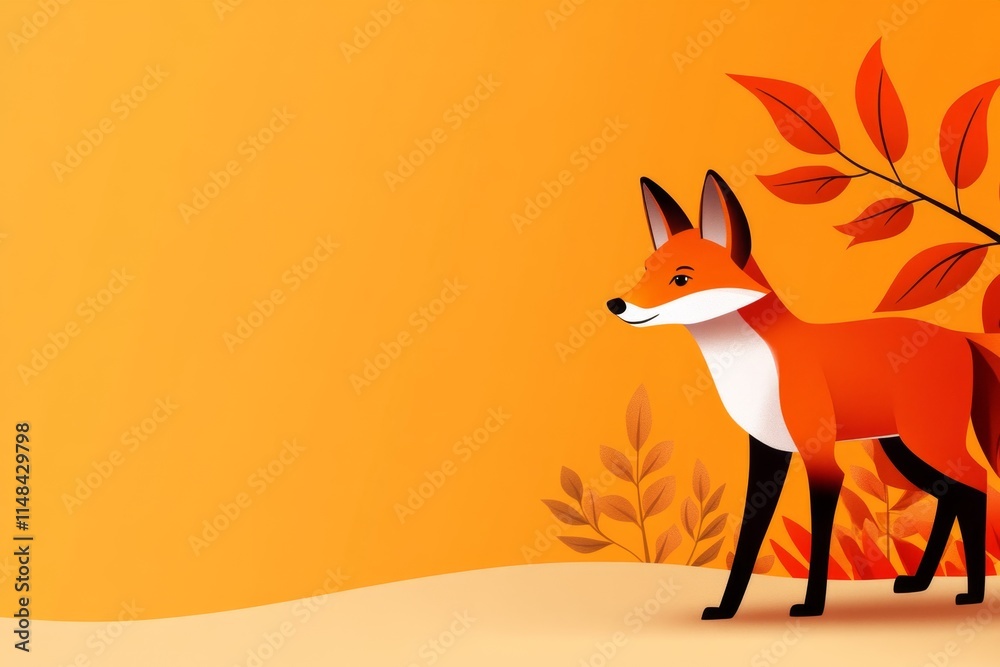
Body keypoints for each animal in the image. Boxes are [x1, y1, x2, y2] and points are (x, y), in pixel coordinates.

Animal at [607, 171, 1000, 619]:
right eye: (646, 270)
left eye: (681, 279)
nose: (617, 304)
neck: (755, 362)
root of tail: (961, 337)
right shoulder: (766, 451)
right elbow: (749, 535)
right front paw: (725, 609)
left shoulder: (821, 458)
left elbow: (819, 534)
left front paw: (811, 605)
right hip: (904, 448)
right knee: (952, 492)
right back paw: (920, 583)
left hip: (927, 441)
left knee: (977, 482)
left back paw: (972, 594)